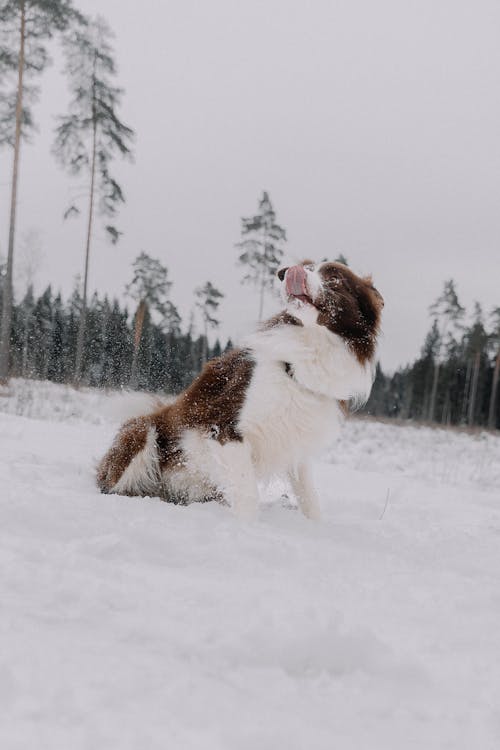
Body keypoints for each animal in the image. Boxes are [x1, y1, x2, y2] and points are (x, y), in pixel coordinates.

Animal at [96, 264, 382, 524]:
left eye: (334, 277)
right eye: (309, 266)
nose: (286, 272)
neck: (303, 358)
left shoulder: (296, 442)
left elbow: (309, 497)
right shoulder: (224, 429)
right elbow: (248, 493)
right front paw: (247, 529)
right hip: (142, 429)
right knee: (114, 484)